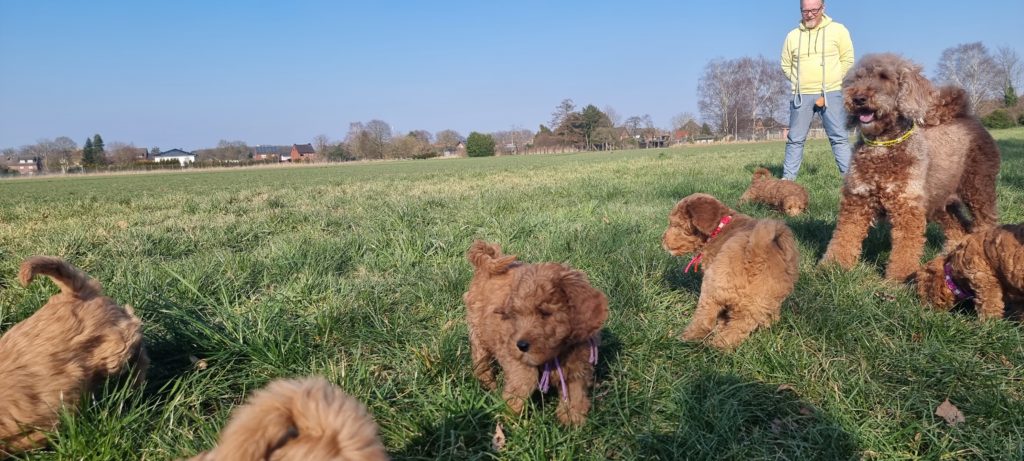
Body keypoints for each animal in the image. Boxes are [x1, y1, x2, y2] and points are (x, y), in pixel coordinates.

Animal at [464, 241, 606, 424]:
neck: (557, 352)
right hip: (477, 328)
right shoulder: (510, 348)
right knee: (480, 356)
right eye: (517, 315)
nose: (522, 345)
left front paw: (572, 420)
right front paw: (509, 416)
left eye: (544, 313)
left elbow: (575, 392)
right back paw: (487, 381)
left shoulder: (578, 364)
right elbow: (525, 378)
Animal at [663, 193, 798, 350]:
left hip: (712, 287)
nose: (662, 240)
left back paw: (693, 338)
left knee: (706, 316)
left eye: (675, 225)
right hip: (761, 301)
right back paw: (723, 344)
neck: (721, 226)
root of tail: (757, 254)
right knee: (741, 326)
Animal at [823, 52, 999, 278]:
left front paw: (899, 279)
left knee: (986, 223)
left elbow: (905, 248)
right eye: (857, 78)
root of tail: (967, 117)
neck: (883, 147)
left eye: (884, 76)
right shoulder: (857, 200)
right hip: (940, 201)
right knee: (959, 228)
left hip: (978, 190)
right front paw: (831, 267)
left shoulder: (907, 205)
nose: (858, 98)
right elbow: (844, 237)